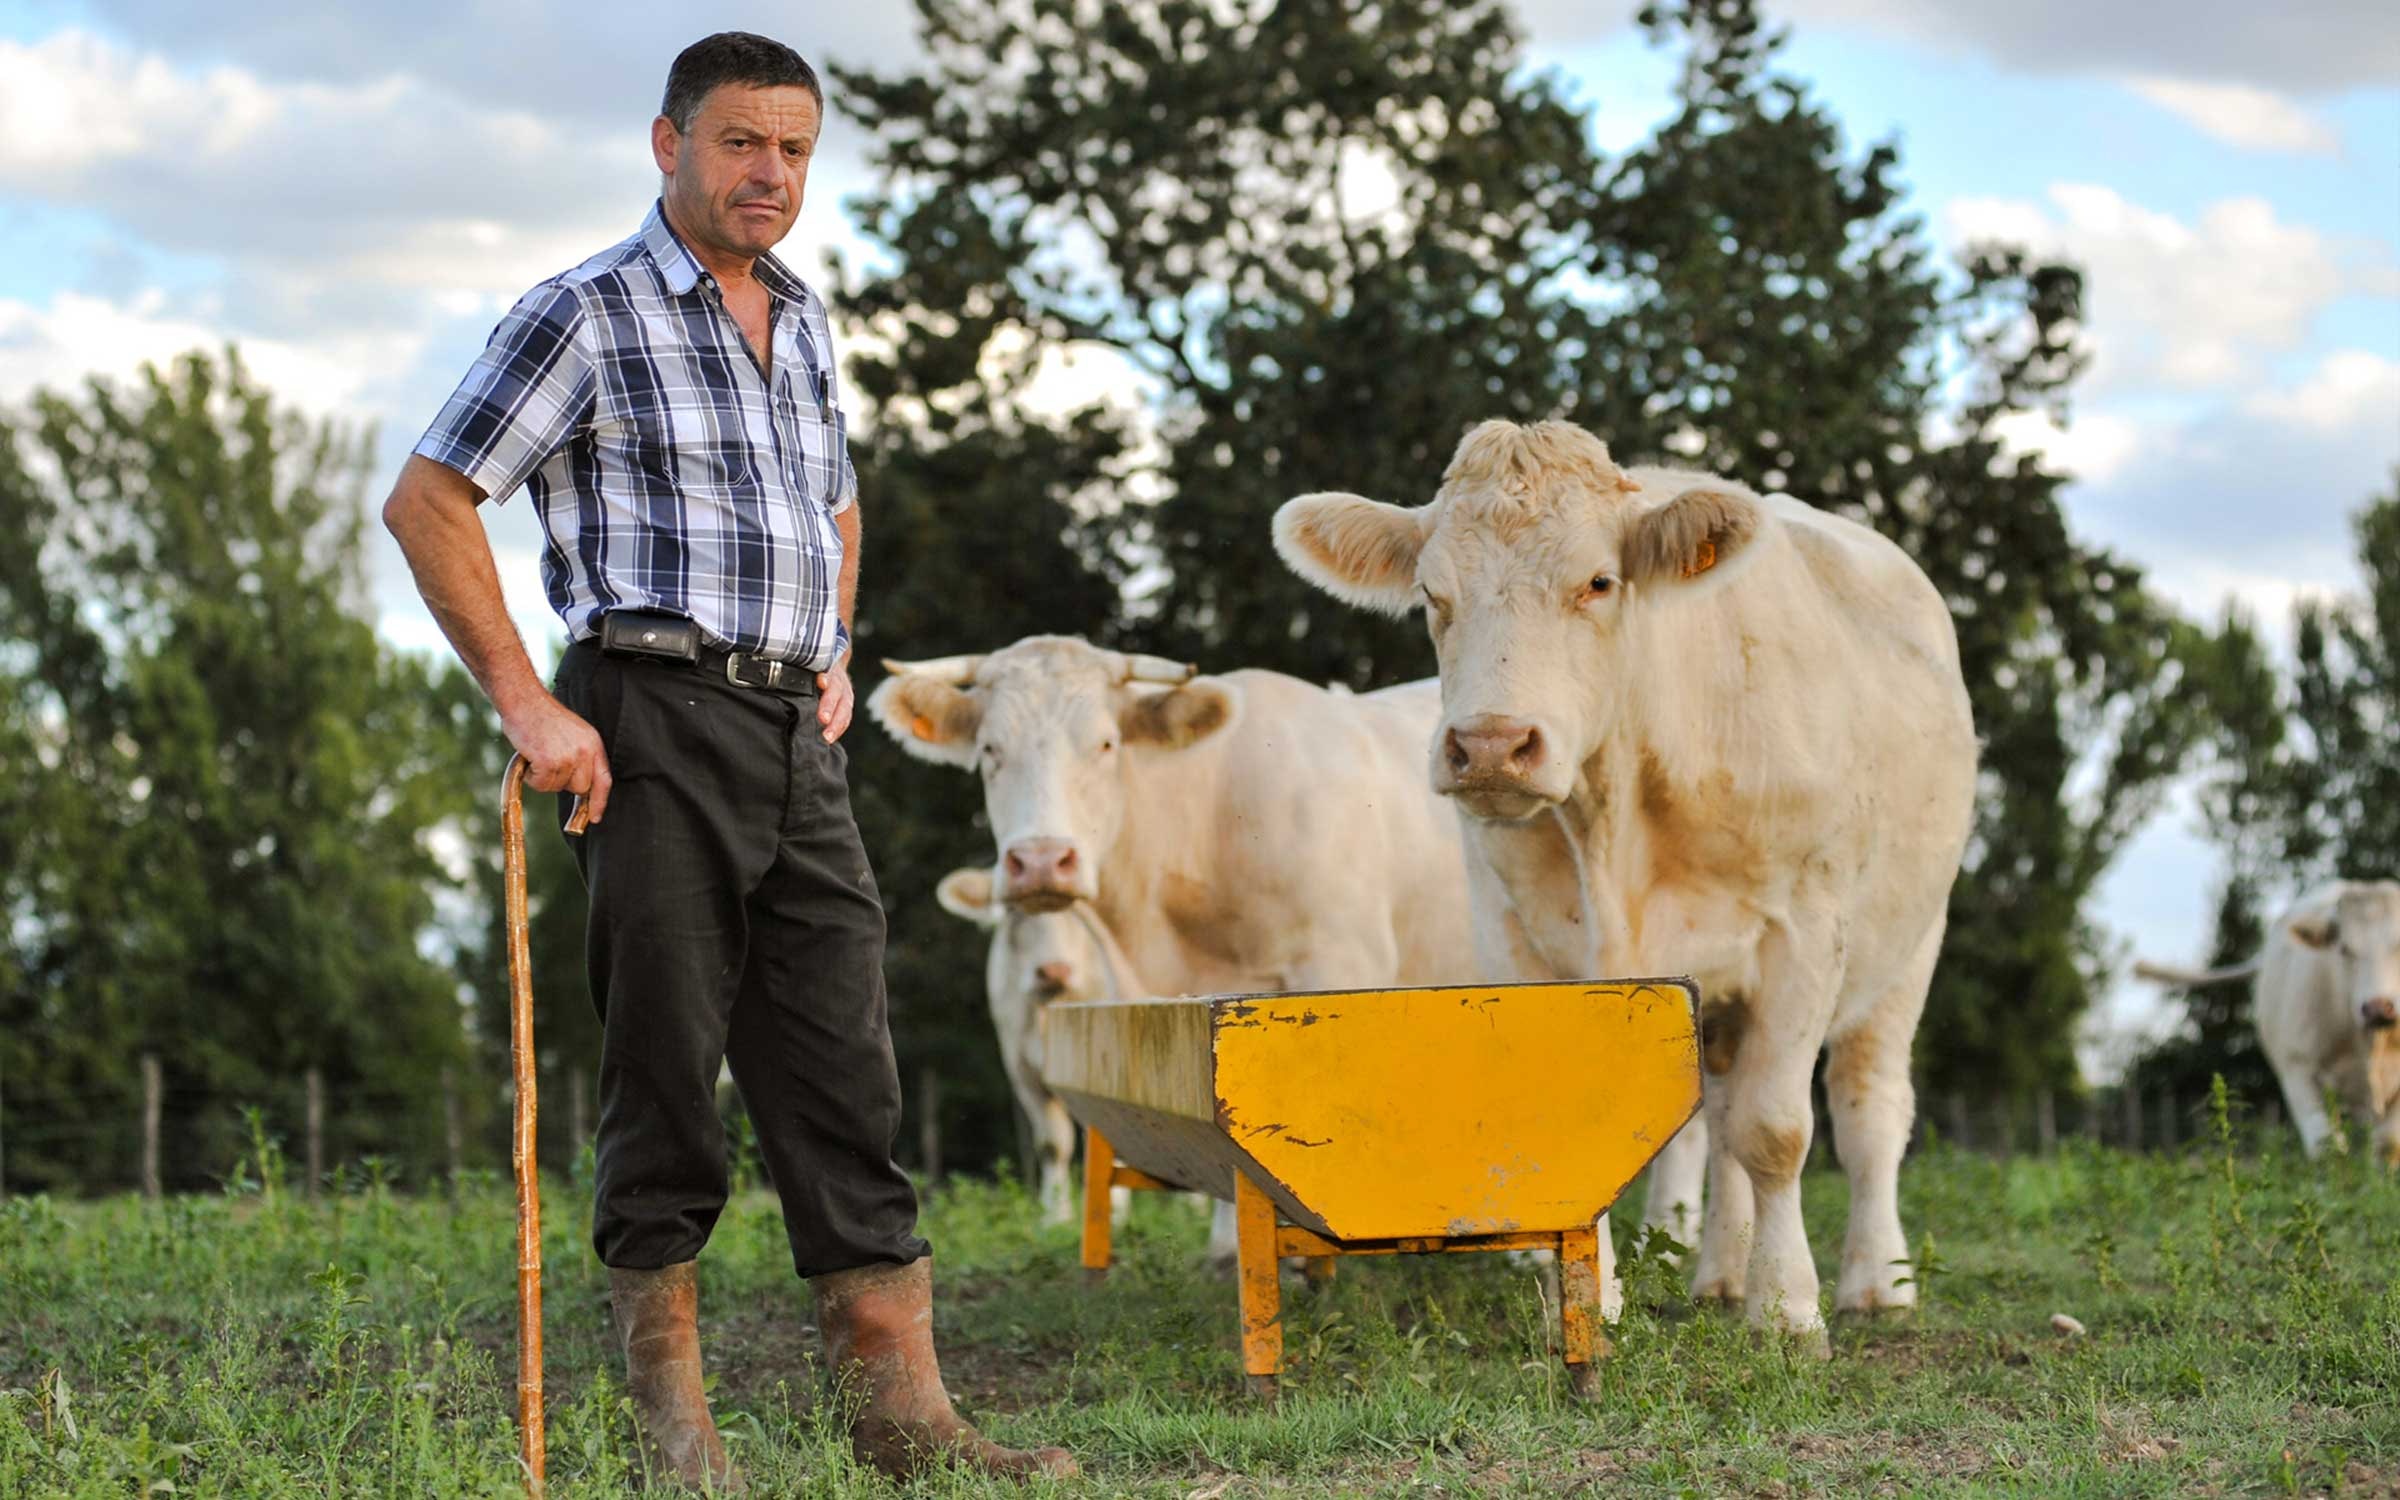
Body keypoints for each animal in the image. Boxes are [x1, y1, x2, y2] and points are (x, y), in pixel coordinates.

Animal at [1267, 417, 1977, 1344]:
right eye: (1430, 593)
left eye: (1599, 581)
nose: (1489, 746)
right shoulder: (1517, 937)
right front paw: (1589, 1302)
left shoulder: (1805, 929)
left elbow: (1778, 1129)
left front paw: (1787, 1310)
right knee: (1721, 1117)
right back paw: (1720, 1275)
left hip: (1911, 945)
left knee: (1868, 1110)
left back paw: (1875, 1283)